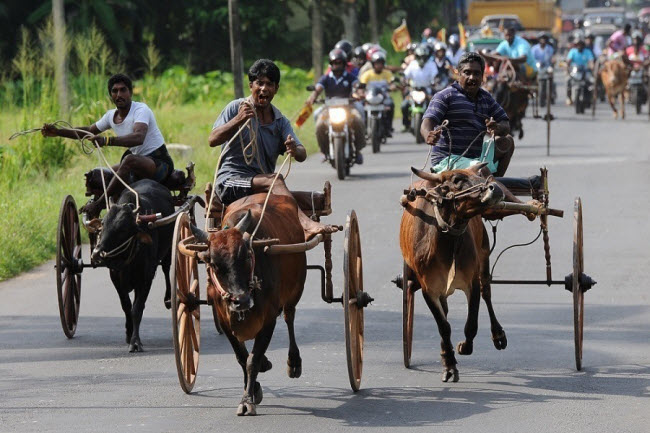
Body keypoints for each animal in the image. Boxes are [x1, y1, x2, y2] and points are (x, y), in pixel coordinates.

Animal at [191, 193, 306, 416]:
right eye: (213, 264)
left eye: (245, 256)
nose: (241, 301)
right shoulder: (225, 322)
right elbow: (242, 358)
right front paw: (253, 390)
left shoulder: (269, 319)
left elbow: (252, 360)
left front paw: (247, 399)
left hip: (295, 291)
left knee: (289, 317)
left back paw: (294, 362)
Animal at [398, 165, 508, 382]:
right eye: (457, 180)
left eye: (478, 175)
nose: (495, 188)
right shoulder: (429, 289)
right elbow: (444, 326)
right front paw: (449, 364)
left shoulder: (471, 282)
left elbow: (471, 324)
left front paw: (464, 347)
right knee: (446, 314)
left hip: (484, 255)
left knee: (487, 293)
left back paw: (498, 335)